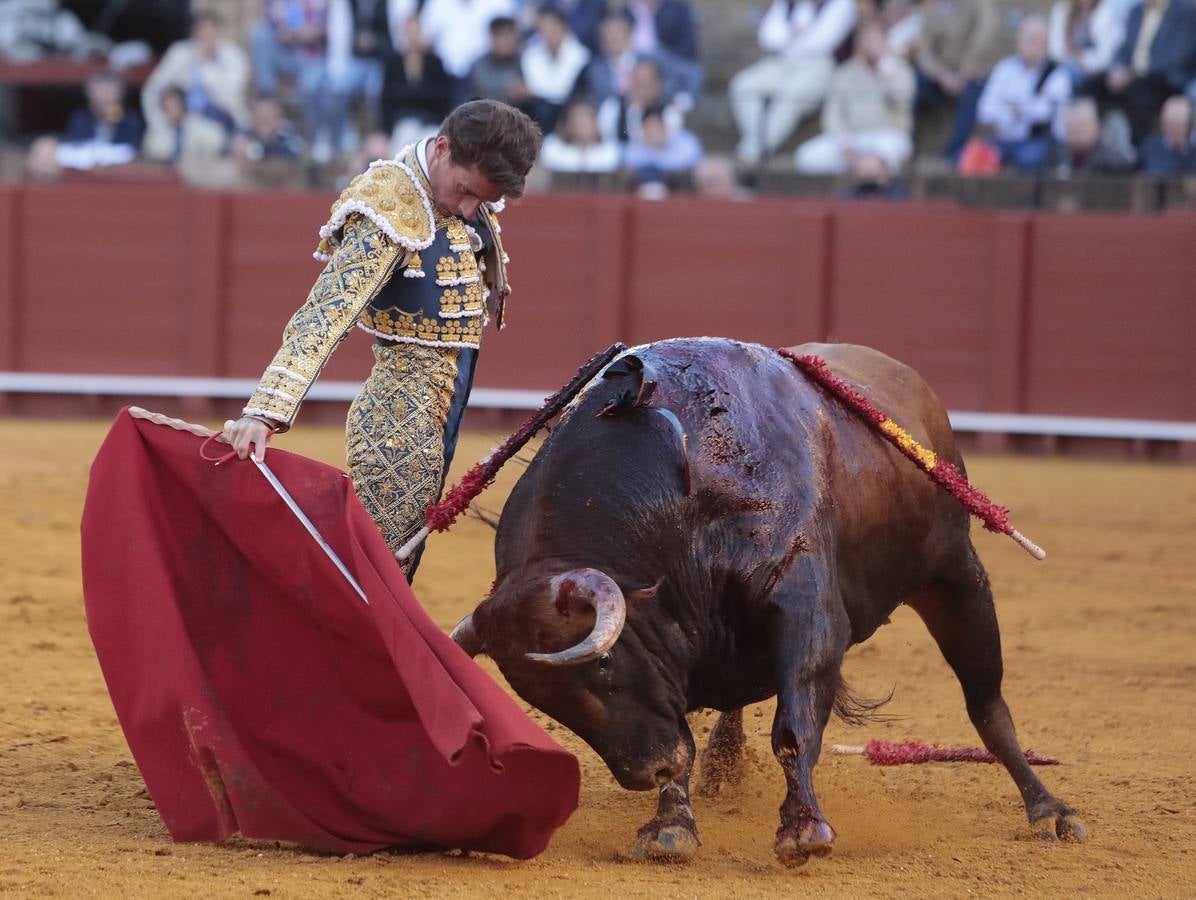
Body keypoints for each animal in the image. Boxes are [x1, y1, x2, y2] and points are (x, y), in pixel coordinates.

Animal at [449, 337, 1085, 865]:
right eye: (538, 697)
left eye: (603, 662)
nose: (646, 770)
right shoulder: (676, 659)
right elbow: (684, 732)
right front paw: (670, 827)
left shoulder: (807, 611)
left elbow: (793, 727)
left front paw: (802, 831)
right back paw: (723, 763)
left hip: (956, 572)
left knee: (987, 701)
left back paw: (1050, 812)